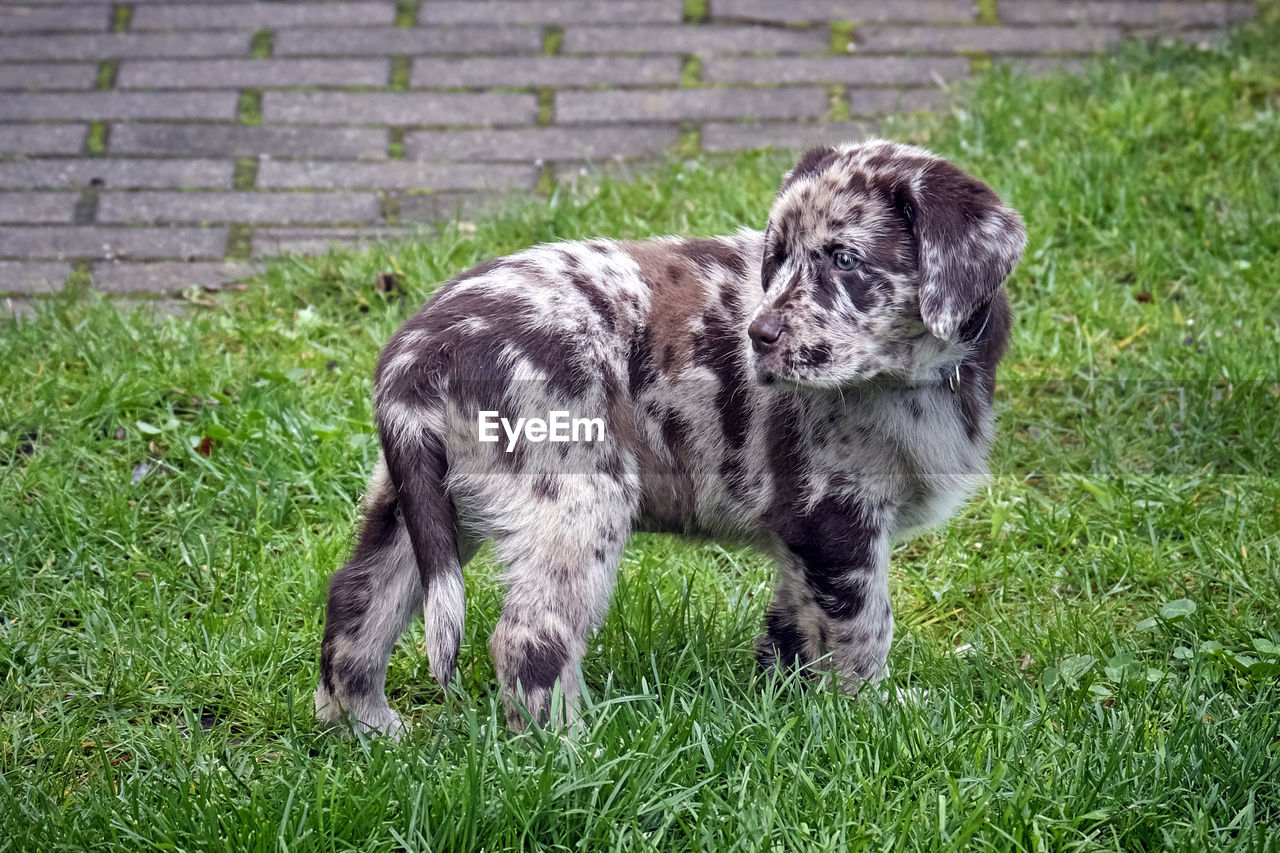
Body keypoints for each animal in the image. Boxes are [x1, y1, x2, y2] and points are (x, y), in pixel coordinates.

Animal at [314, 137, 1024, 732]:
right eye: (778, 259)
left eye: (844, 261)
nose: (759, 337)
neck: (913, 376)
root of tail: (415, 352)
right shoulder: (838, 520)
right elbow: (863, 631)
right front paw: (869, 720)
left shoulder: (801, 540)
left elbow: (794, 628)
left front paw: (787, 708)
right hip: (578, 501)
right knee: (530, 638)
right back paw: (573, 755)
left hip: (422, 499)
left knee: (357, 601)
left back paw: (366, 732)